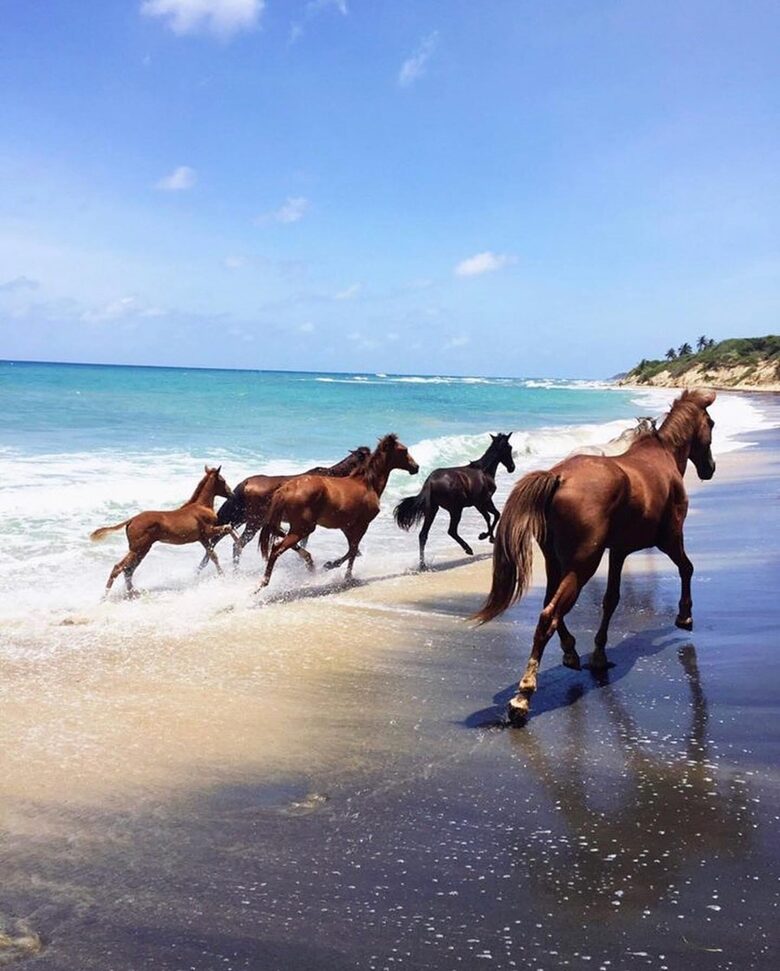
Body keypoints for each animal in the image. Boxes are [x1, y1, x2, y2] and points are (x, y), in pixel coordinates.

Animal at [90, 466, 238, 598]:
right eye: (223, 480)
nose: (232, 494)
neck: (201, 506)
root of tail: (131, 520)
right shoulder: (208, 532)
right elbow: (228, 528)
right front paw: (238, 541)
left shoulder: (202, 538)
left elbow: (213, 556)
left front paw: (222, 575)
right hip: (137, 549)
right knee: (119, 568)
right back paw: (104, 598)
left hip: (142, 550)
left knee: (128, 570)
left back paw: (132, 593)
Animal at [197, 446, 371, 571]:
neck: (334, 478)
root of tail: (245, 483)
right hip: (253, 523)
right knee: (236, 545)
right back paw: (234, 572)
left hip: (240, 518)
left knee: (216, 539)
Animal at [257, 434, 419, 589]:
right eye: (404, 450)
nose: (416, 467)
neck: (367, 484)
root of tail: (286, 489)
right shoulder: (362, 524)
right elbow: (353, 551)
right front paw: (347, 577)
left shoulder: (346, 526)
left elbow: (353, 550)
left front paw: (330, 565)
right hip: (302, 528)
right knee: (276, 549)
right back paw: (262, 584)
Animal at [393, 432, 516, 569]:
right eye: (509, 447)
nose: (512, 467)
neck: (484, 471)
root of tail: (429, 482)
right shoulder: (482, 501)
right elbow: (491, 516)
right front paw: (485, 536)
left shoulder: (483, 502)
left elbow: (494, 515)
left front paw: (490, 537)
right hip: (455, 510)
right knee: (451, 531)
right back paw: (468, 549)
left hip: (432, 510)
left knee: (423, 535)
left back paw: (423, 565)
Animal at [473, 390, 717, 721]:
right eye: (711, 424)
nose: (710, 468)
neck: (662, 455)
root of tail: (558, 477)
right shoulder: (670, 539)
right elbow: (687, 569)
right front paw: (685, 616)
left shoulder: (618, 552)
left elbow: (611, 600)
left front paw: (599, 655)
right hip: (582, 566)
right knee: (549, 615)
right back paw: (523, 696)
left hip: (558, 563)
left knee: (551, 607)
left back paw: (571, 653)